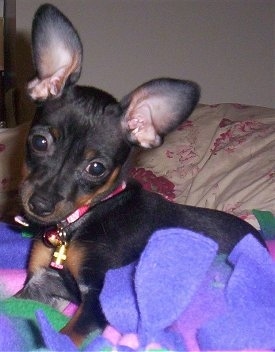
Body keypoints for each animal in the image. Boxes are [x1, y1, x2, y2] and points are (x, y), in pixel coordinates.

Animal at [16, 4, 266, 348]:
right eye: (39, 142)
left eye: (96, 168)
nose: (39, 204)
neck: (82, 219)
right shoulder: (40, 282)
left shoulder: (101, 298)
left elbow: (64, 335)